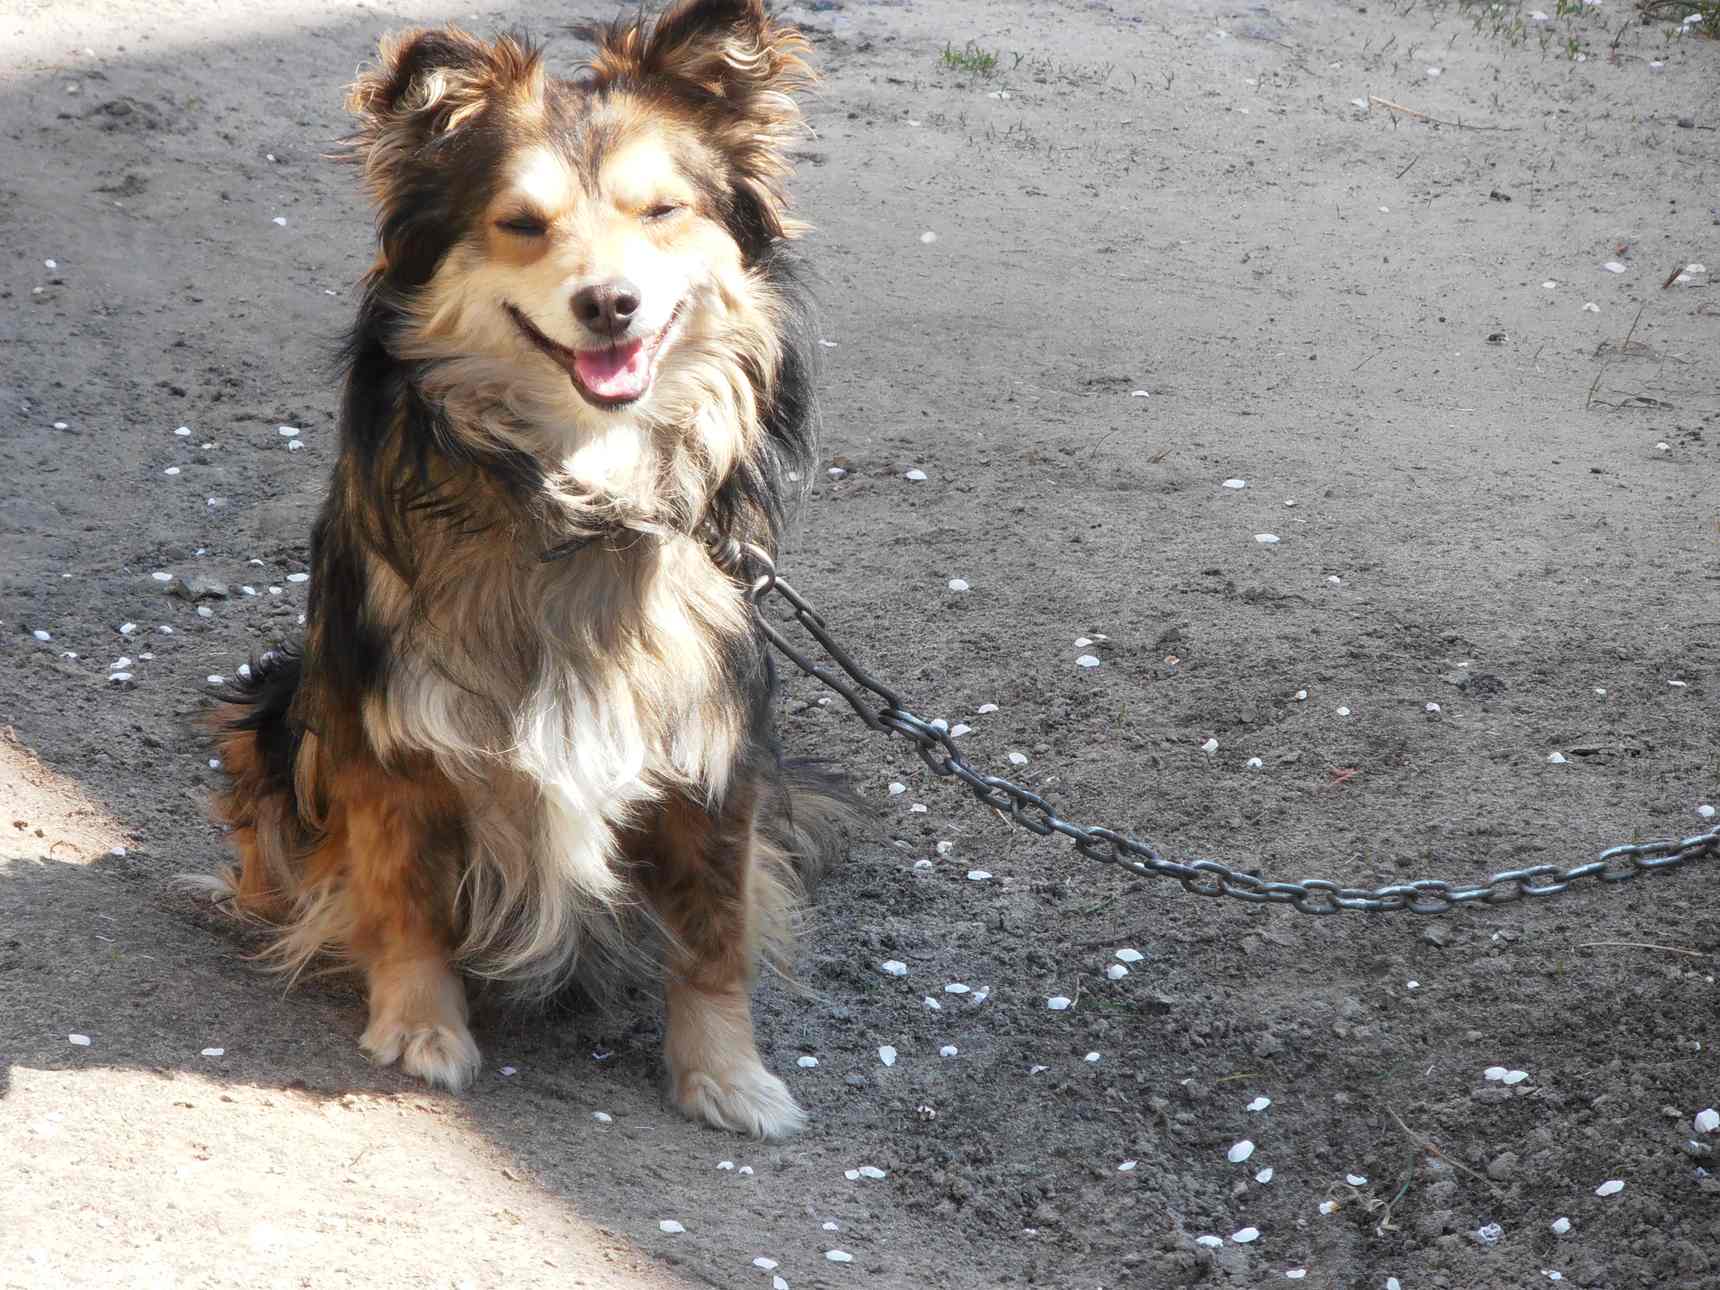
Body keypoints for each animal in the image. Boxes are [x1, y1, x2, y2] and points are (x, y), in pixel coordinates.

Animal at [201, 0, 848, 1140]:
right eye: (521, 224)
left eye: (662, 211)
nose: (610, 304)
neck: (578, 494)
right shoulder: (389, 731)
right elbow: (401, 891)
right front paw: (419, 1028)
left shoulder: (713, 746)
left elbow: (715, 930)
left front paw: (728, 1075)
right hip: (270, 707)